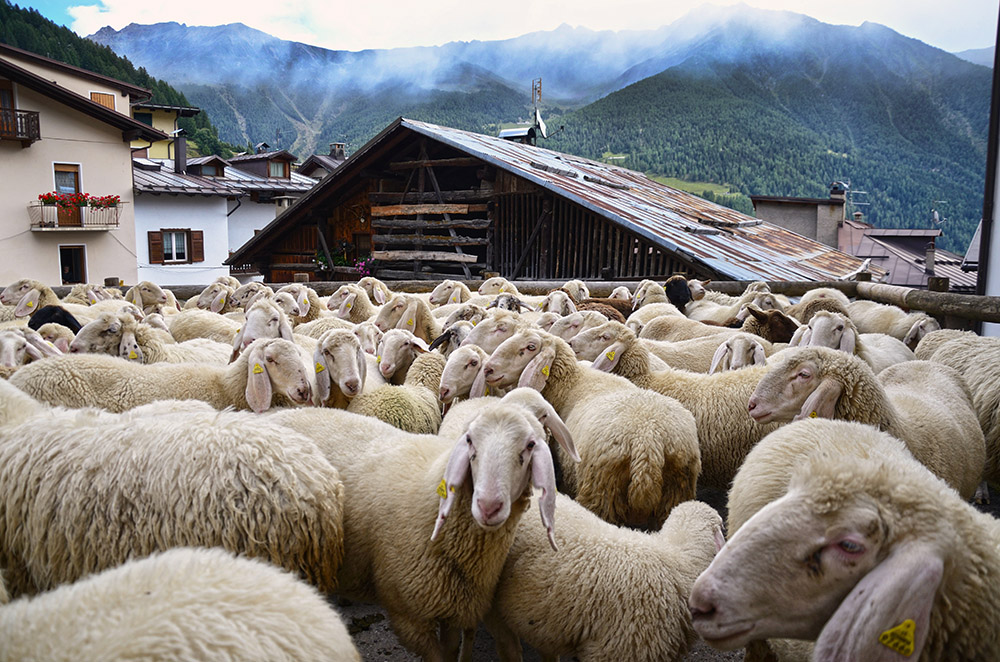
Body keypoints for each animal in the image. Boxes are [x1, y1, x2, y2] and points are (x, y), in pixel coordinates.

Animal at [266, 390, 578, 660]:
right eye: (469, 440)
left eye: (530, 445)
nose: (488, 505)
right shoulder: (409, 616)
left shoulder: (451, 605)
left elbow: (451, 649)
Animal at [483, 329, 701, 529]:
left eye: (530, 347)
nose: (488, 370)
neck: (571, 382)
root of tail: (647, 446)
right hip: (673, 494)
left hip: (601, 493)